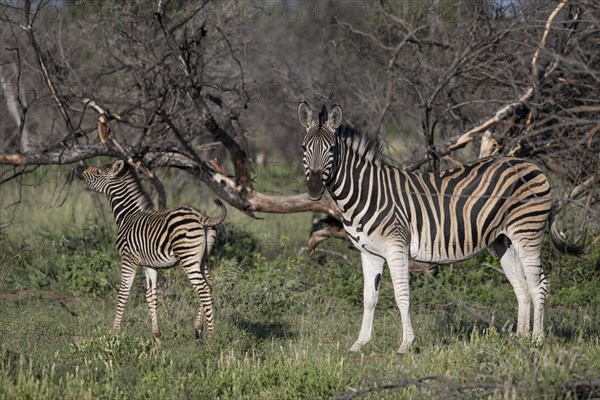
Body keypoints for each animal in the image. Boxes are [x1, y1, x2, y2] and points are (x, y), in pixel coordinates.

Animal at [75, 161, 225, 342]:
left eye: (97, 171)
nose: (78, 168)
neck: (127, 216)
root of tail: (201, 216)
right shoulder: (149, 265)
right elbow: (151, 295)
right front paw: (156, 335)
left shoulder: (128, 259)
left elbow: (123, 293)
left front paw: (114, 333)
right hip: (202, 259)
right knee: (208, 284)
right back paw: (198, 329)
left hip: (188, 258)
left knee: (202, 288)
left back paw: (210, 336)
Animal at [300, 101, 580, 354]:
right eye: (304, 147)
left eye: (331, 149)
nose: (314, 190)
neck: (366, 193)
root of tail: (532, 166)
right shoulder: (368, 252)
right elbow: (369, 298)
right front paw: (359, 344)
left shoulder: (396, 247)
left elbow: (402, 295)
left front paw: (406, 345)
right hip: (504, 241)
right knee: (521, 288)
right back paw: (519, 339)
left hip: (528, 232)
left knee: (538, 285)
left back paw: (537, 340)